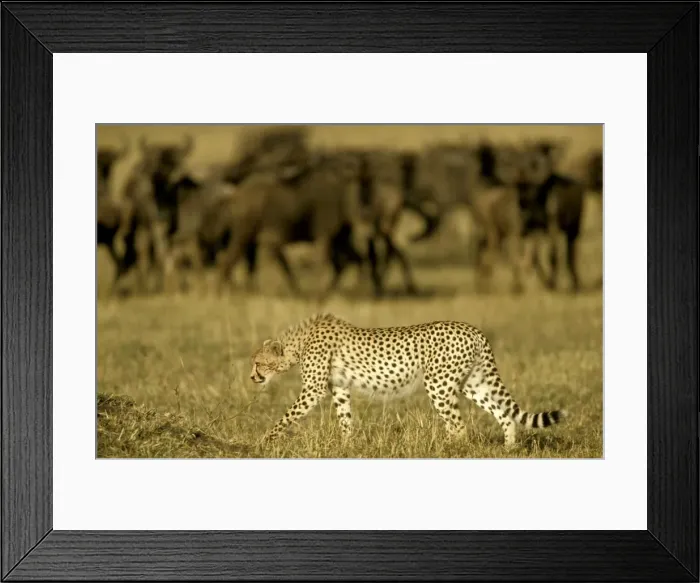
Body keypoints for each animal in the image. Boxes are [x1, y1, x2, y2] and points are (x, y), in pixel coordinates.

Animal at [250, 313, 566, 447]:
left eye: (258, 363)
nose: (252, 376)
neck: (299, 343)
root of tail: (473, 329)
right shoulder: (339, 388)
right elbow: (345, 418)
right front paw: (347, 446)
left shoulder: (312, 390)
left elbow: (285, 417)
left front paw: (264, 440)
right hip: (472, 383)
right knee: (503, 414)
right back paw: (509, 449)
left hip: (438, 385)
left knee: (458, 425)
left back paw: (447, 450)